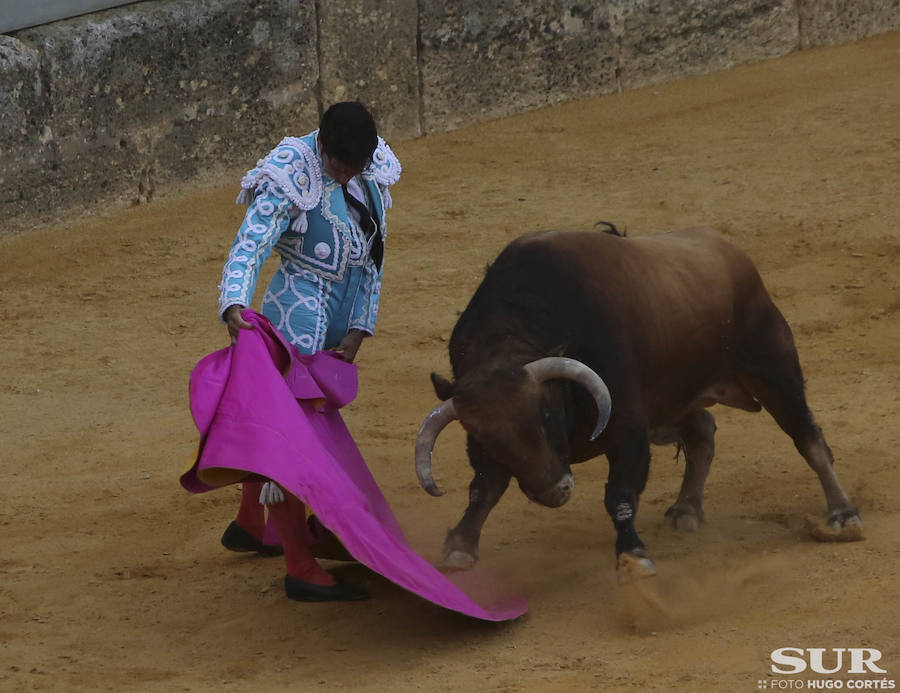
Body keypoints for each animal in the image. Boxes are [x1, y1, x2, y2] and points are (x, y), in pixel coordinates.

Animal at [418, 227, 860, 572]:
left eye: (546, 413)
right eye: (484, 435)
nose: (553, 492)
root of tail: (733, 254)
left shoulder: (629, 429)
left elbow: (620, 495)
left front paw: (633, 554)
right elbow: (484, 488)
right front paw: (460, 546)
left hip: (773, 367)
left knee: (808, 438)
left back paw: (842, 514)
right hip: (676, 397)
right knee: (703, 432)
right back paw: (686, 508)